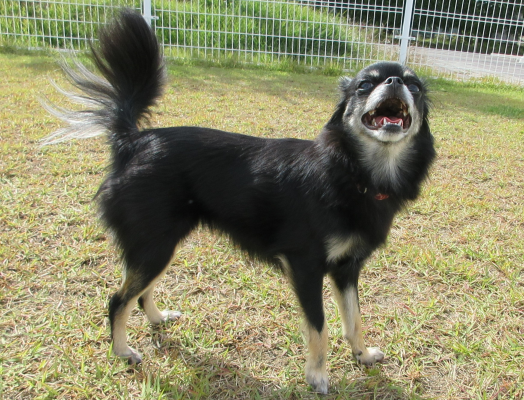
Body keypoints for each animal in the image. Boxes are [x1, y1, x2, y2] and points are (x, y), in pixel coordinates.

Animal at [44, 9, 435, 394]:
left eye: (414, 86)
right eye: (365, 85)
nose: (395, 82)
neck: (353, 172)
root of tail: (134, 141)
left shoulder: (347, 268)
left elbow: (354, 319)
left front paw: (362, 355)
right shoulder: (305, 266)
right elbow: (320, 326)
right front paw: (317, 376)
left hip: (160, 245)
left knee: (138, 293)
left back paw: (157, 319)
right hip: (155, 245)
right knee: (118, 300)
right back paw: (123, 351)